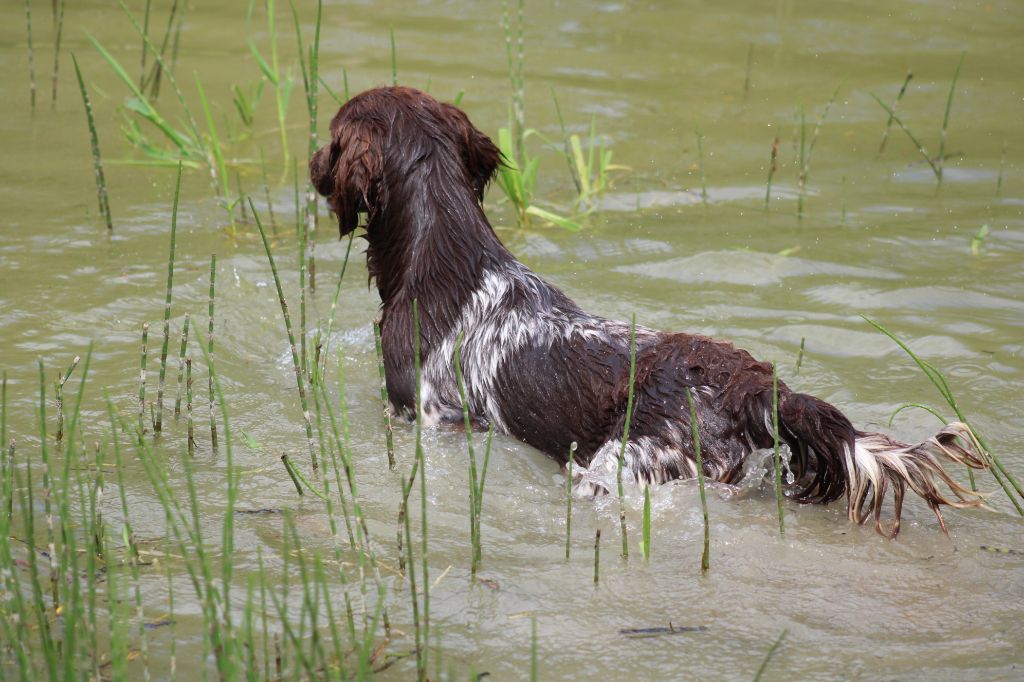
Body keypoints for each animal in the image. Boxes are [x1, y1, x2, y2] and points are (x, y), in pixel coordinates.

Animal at [309, 86, 983, 536]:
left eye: (333, 134)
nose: (313, 163)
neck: (445, 256)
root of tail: (756, 388)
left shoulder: (429, 421)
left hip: (618, 470)